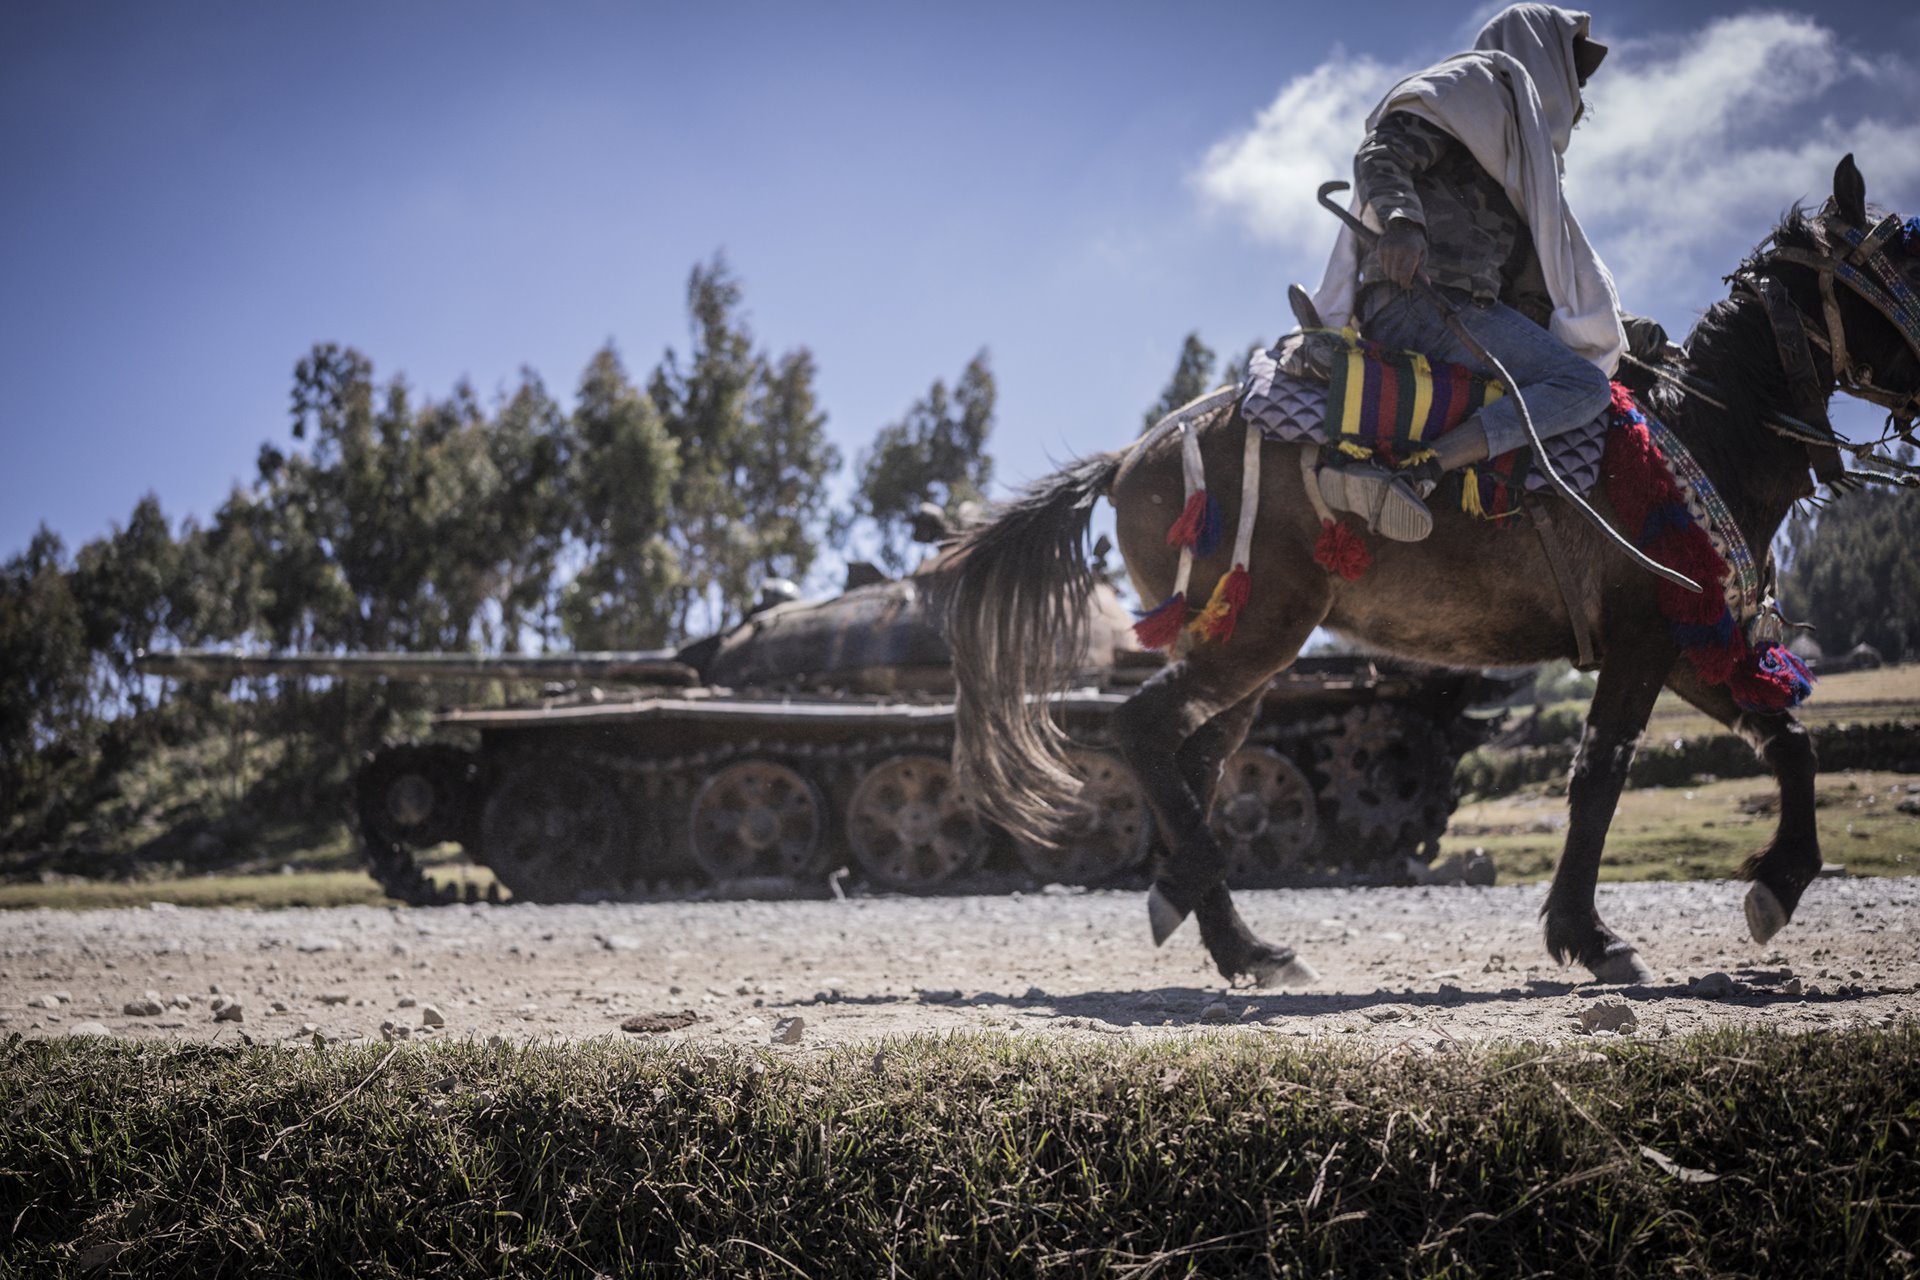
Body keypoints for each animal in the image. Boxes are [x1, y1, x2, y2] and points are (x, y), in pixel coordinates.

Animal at [944, 155, 1920, 990]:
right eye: (1901, 257)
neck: (1701, 432)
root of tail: (1130, 458)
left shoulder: (1687, 644)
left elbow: (1788, 743)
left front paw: (1778, 885)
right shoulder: (1644, 641)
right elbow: (1600, 776)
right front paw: (1589, 936)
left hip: (1236, 643)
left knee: (1199, 760)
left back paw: (1220, 925)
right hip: (1258, 631)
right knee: (1146, 732)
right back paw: (1227, 920)